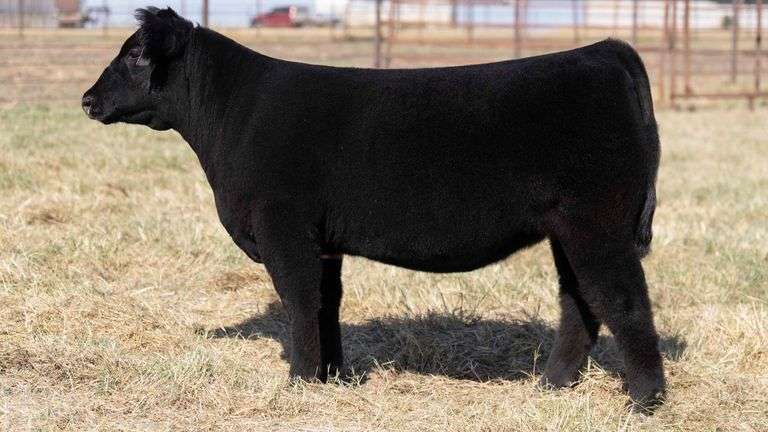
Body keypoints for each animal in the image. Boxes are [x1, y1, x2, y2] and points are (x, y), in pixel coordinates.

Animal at [82, 7, 664, 411]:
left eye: (137, 56)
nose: (87, 100)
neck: (232, 115)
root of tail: (603, 52)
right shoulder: (323, 241)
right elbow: (326, 303)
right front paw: (332, 376)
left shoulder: (284, 228)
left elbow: (299, 301)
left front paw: (300, 380)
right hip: (567, 229)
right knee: (580, 303)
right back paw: (552, 385)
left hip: (597, 225)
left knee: (624, 302)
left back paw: (645, 401)